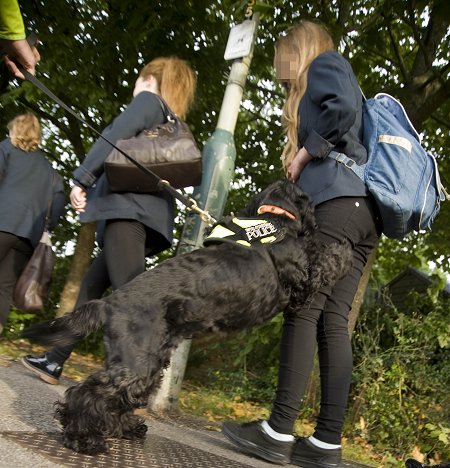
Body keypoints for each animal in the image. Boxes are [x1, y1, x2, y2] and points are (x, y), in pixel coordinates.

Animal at [23, 181, 352, 456]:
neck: (274, 219)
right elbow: (325, 258)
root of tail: (108, 302)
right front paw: (344, 248)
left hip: (150, 365)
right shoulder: (303, 280)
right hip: (137, 365)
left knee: (119, 399)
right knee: (90, 392)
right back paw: (83, 438)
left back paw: (125, 428)